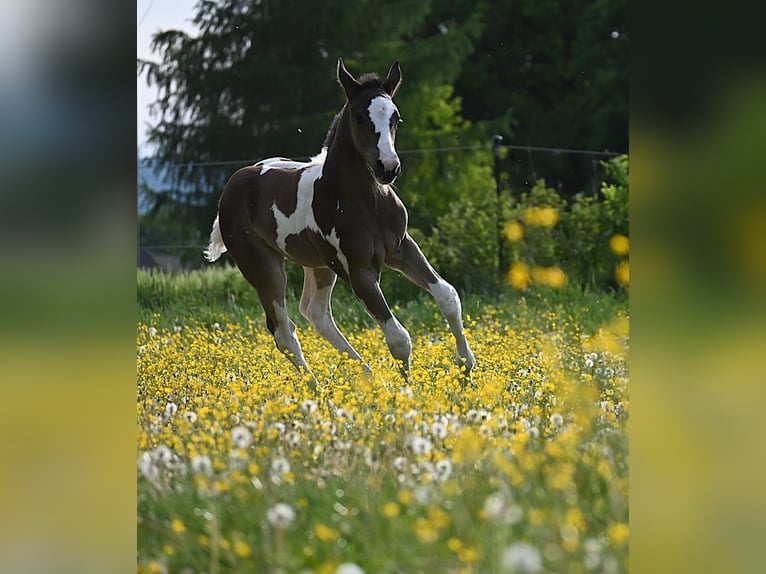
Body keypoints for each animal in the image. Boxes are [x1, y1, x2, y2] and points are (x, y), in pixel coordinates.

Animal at [204, 58, 475, 386]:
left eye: (395, 118)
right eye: (359, 118)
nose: (388, 168)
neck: (366, 202)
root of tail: (233, 184)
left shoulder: (402, 248)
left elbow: (448, 296)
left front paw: (465, 368)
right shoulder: (357, 270)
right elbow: (399, 338)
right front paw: (407, 390)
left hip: (319, 265)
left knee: (315, 312)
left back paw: (367, 377)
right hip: (263, 267)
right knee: (283, 330)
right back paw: (315, 386)